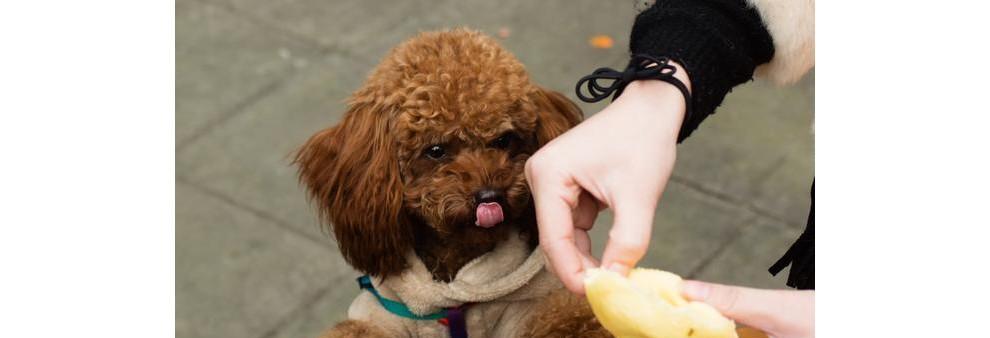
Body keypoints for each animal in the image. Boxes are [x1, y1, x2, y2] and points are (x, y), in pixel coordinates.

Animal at [294, 27, 608, 336]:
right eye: (435, 150)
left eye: (504, 140)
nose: (490, 196)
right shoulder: (384, 314)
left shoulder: (530, 309)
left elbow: (567, 317)